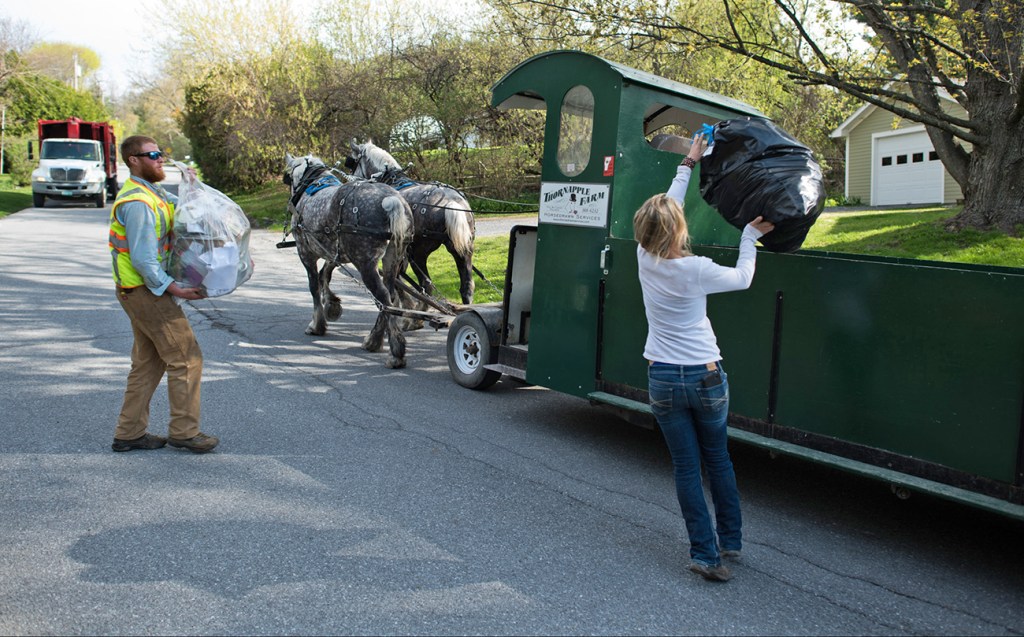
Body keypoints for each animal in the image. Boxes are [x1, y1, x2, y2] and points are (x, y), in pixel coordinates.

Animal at [282, 153, 413, 368]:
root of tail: (392, 199)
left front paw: (317, 324)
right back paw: (373, 340)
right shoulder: (334, 253)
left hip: (365, 263)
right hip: (392, 260)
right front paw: (333, 305)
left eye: (289, 177)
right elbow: (324, 276)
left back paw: (395, 351)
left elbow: (314, 285)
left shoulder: (305, 251)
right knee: (391, 296)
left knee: (383, 297)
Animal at [342, 141, 473, 305]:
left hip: (418, 253)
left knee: (426, 286)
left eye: (352, 164)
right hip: (463, 250)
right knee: (466, 288)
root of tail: (449, 201)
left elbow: (395, 280)